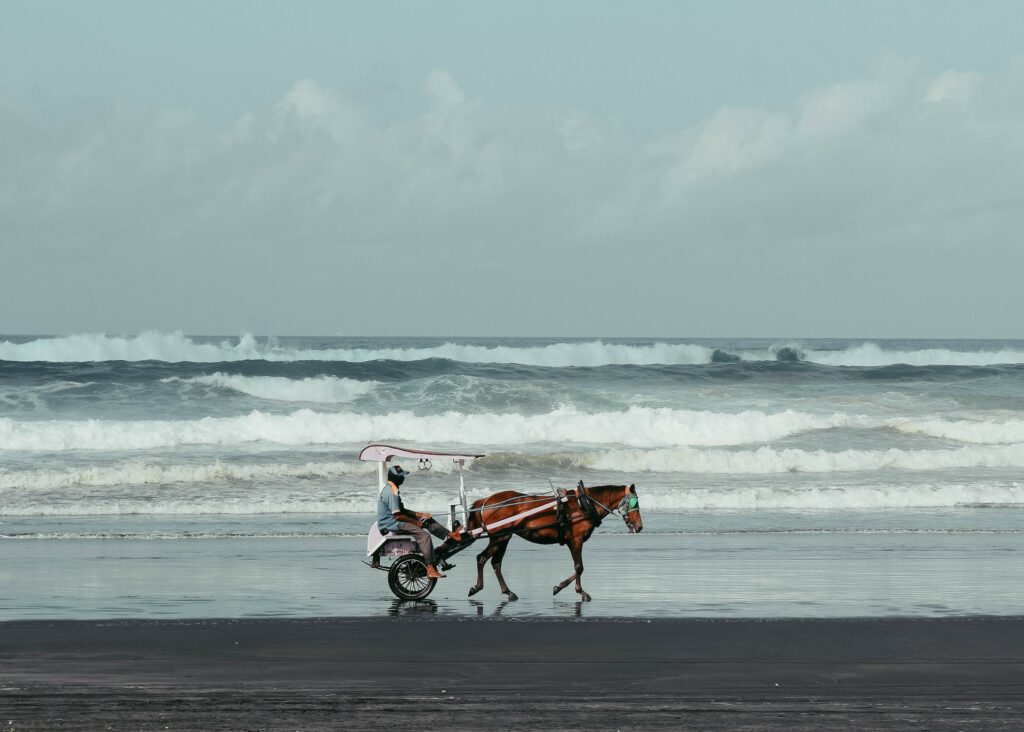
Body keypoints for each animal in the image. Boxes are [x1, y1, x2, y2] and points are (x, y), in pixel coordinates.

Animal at [464, 481, 638, 601]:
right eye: (635, 502)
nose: (640, 526)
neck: (584, 504)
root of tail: (485, 500)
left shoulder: (573, 541)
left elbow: (578, 568)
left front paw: (560, 587)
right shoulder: (576, 540)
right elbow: (579, 567)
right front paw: (578, 591)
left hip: (503, 538)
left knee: (495, 563)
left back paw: (508, 591)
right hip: (500, 537)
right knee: (482, 558)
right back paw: (478, 587)